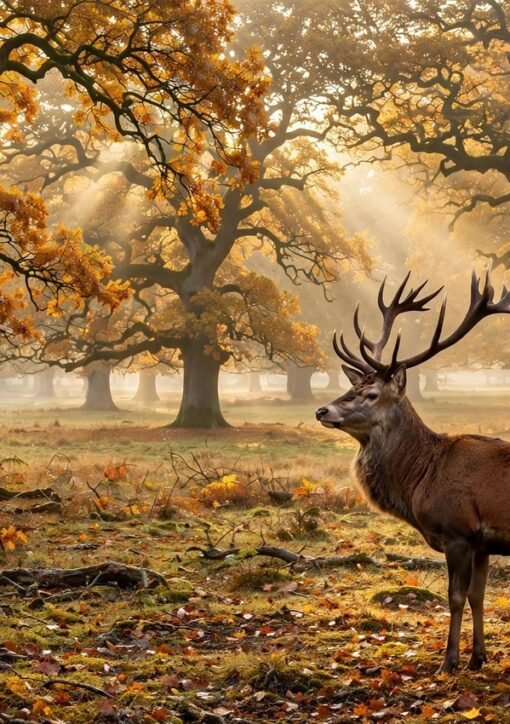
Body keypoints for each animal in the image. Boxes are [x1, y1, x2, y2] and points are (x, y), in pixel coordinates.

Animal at [315, 269, 510, 673]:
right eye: (351, 385)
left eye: (371, 394)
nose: (322, 410)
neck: (423, 478)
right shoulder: (483, 543)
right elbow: (478, 596)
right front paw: (478, 658)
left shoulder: (458, 531)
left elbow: (455, 597)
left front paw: (448, 662)